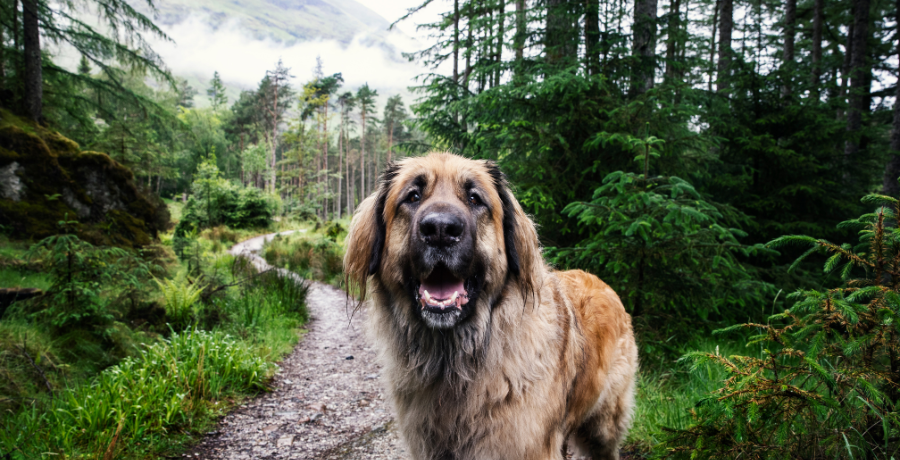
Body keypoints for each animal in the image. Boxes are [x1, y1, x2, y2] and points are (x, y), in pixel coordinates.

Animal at [342, 154, 636, 460]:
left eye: (475, 198)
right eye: (412, 196)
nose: (440, 230)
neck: (454, 360)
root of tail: (600, 281)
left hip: (603, 425)